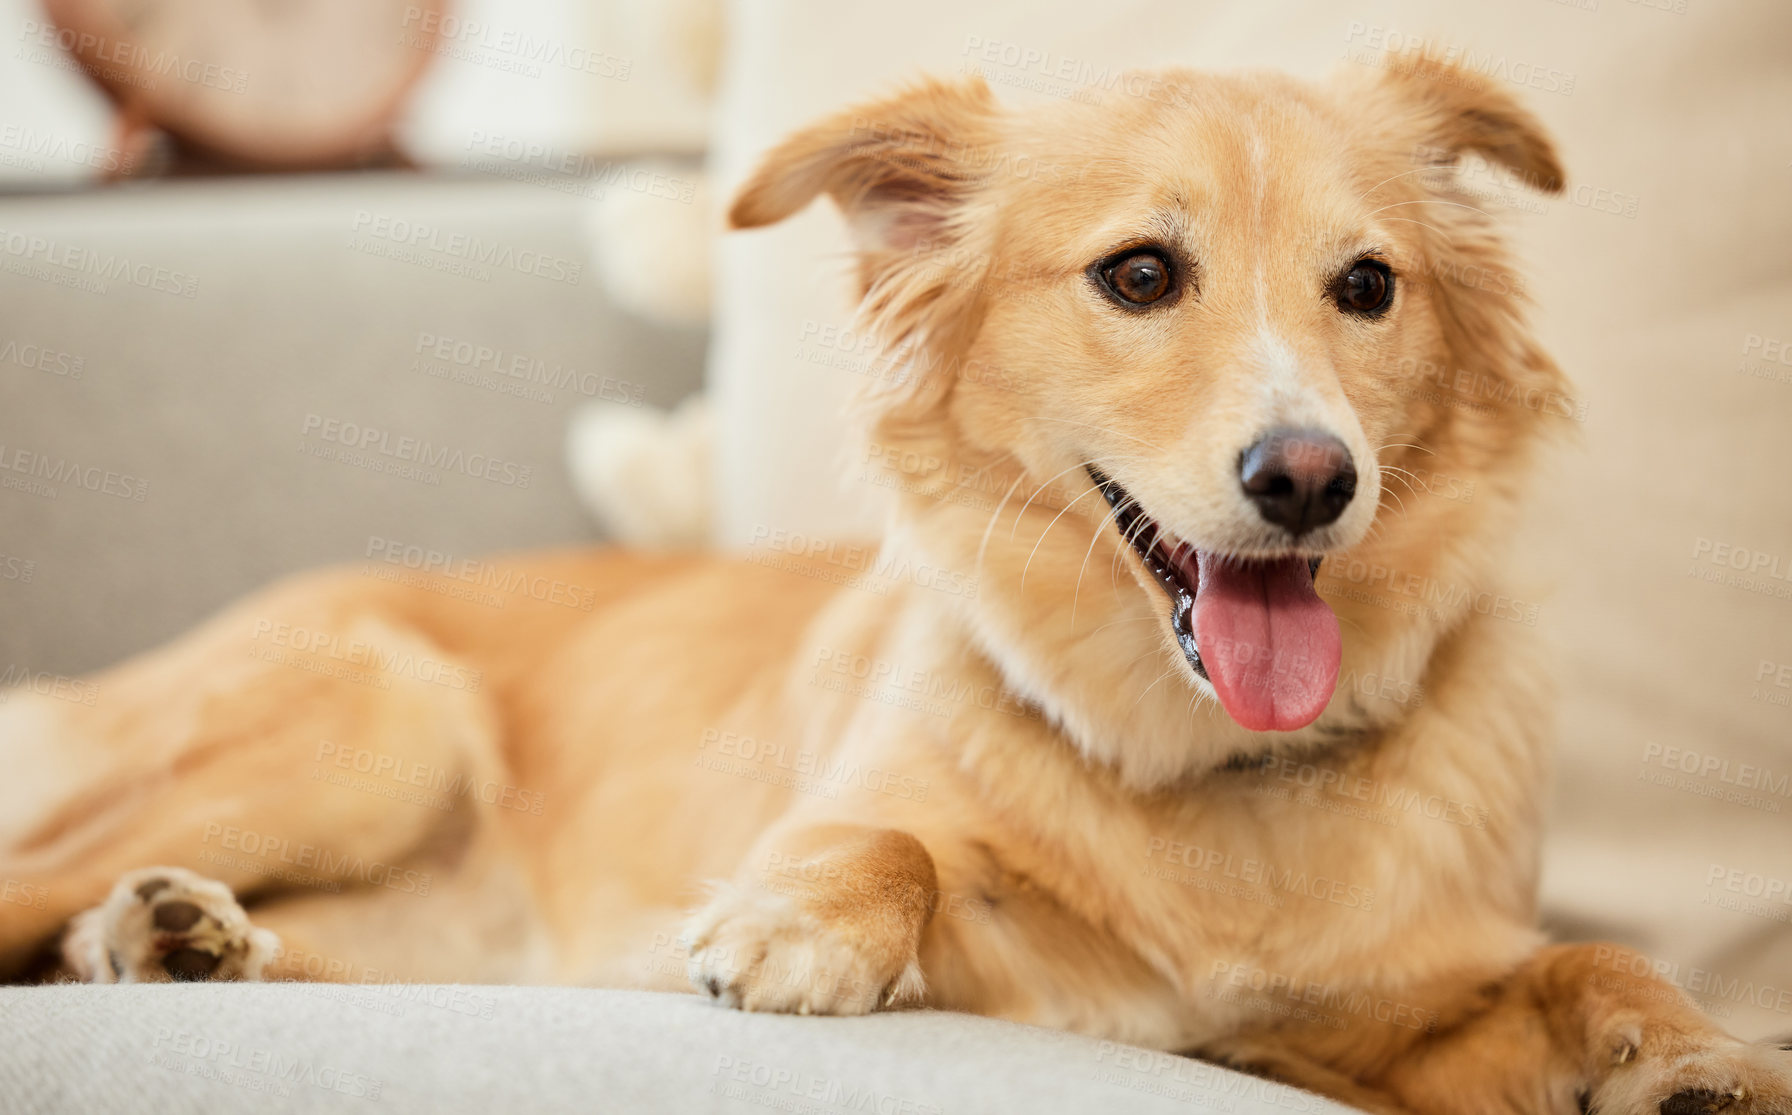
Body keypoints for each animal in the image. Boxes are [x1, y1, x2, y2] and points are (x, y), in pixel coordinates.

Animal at [3, 59, 1792, 1115]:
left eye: (1368, 287)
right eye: (1142, 273)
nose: (1310, 476)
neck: (1197, 765)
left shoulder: (1370, 1024)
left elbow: (1585, 962)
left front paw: (1702, 1053)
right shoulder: (939, 893)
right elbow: (896, 843)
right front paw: (808, 922)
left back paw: (183, 942)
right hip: (385, 717)